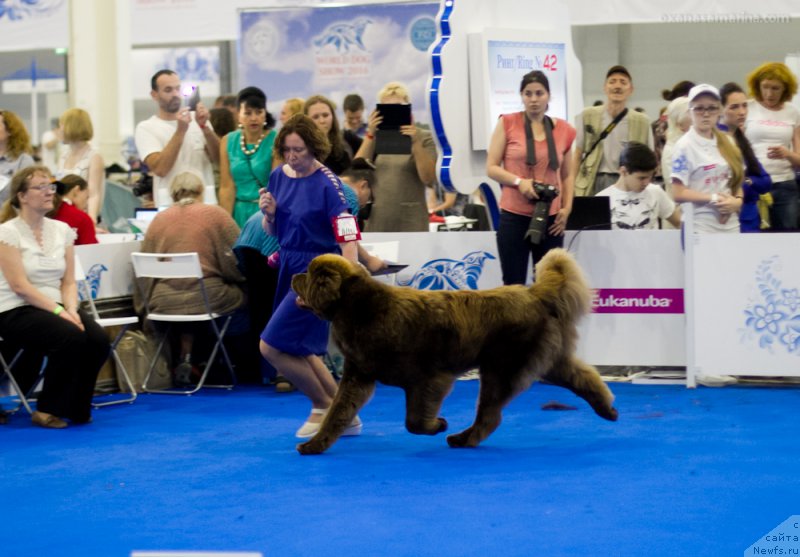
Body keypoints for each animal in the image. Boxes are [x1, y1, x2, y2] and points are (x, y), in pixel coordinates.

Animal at [290, 248, 616, 452]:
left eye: (308, 274)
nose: (293, 276)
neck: (359, 307)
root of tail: (534, 293)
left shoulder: (429, 379)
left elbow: (414, 422)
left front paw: (437, 424)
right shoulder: (358, 376)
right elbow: (337, 413)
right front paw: (315, 445)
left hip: (504, 368)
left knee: (490, 415)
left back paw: (461, 438)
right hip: (538, 361)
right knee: (582, 376)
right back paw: (608, 409)